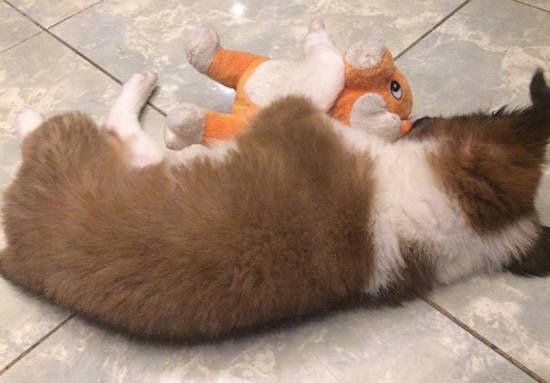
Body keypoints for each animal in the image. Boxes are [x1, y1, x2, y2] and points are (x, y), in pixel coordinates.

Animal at [1, 70, 550, 344]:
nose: (419, 119)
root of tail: (16, 248)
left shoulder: (291, 113)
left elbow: (318, 80)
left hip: (84, 143)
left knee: (90, 126)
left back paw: (37, 109)